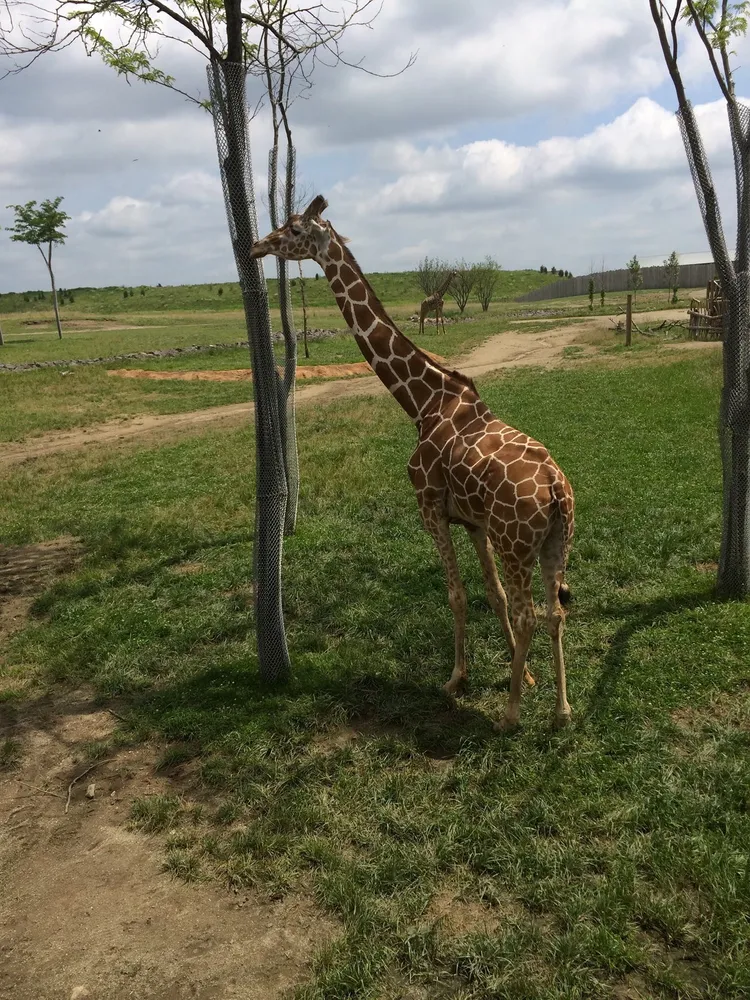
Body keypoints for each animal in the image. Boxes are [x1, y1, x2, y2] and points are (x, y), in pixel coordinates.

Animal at [251, 196, 575, 730]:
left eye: (294, 228)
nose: (257, 245)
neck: (422, 403)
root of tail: (556, 490)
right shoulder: (473, 522)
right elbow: (490, 593)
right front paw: (523, 674)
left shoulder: (430, 509)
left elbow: (458, 595)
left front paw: (457, 679)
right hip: (554, 544)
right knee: (555, 612)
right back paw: (562, 710)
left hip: (517, 544)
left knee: (531, 613)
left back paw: (509, 717)